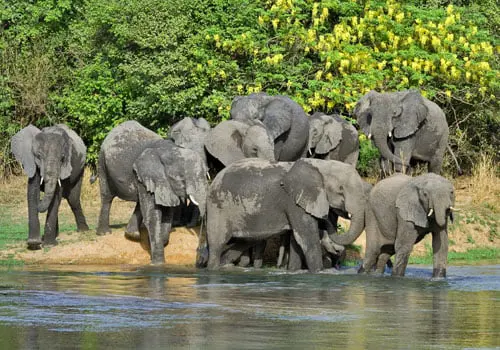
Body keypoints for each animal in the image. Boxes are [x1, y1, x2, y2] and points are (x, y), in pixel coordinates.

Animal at [201, 157, 370, 272]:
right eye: (341, 189)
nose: (326, 218)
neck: (319, 164)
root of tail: (213, 180)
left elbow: (297, 242)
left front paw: (294, 272)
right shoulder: (294, 202)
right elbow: (307, 239)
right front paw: (318, 272)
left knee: (242, 243)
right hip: (219, 207)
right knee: (217, 243)